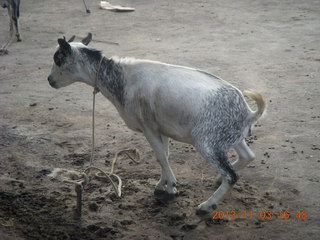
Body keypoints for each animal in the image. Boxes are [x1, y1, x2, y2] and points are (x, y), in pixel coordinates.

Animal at [47, 32, 266, 215]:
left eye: (58, 59)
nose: (49, 80)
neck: (120, 78)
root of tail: (248, 113)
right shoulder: (162, 128)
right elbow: (164, 156)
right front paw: (163, 184)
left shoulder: (148, 127)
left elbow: (160, 156)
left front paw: (172, 188)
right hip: (230, 138)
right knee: (247, 156)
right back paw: (218, 180)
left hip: (207, 143)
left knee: (232, 176)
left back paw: (206, 205)